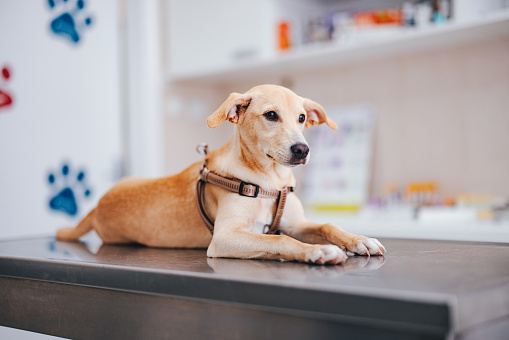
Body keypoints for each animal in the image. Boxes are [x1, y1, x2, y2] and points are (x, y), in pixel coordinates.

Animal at [56, 83, 384, 264]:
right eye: (271, 115)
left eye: (302, 118)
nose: (302, 150)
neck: (271, 181)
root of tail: (96, 209)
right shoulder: (225, 237)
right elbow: (278, 241)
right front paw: (318, 252)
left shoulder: (296, 223)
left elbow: (327, 224)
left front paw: (358, 240)